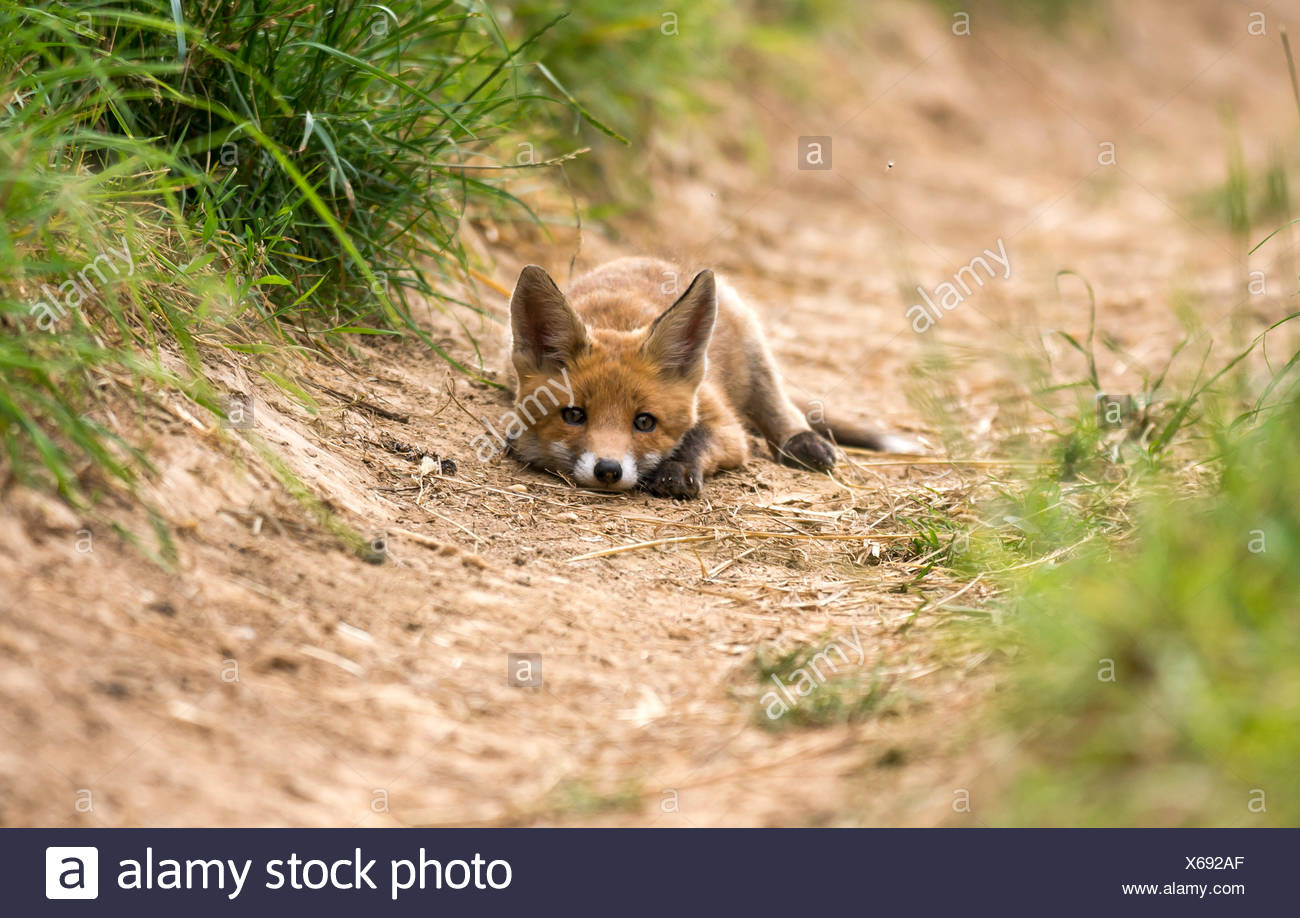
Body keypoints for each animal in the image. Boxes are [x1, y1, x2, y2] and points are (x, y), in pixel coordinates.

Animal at [505, 257, 916, 499]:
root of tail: (649, 258)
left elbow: (698, 440)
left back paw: (804, 443)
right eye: (574, 415)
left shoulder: (728, 426)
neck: (617, 323)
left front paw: (678, 470)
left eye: (645, 422)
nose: (608, 470)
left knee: (781, 409)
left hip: (755, 354)